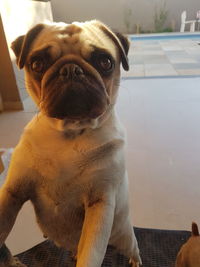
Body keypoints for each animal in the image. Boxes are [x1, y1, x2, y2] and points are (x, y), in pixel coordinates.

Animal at [0, 19, 141, 266]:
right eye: (37, 64)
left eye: (105, 62)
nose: (71, 69)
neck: (69, 134)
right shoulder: (13, 193)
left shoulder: (99, 204)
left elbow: (91, 255)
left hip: (124, 236)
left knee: (133, 249)